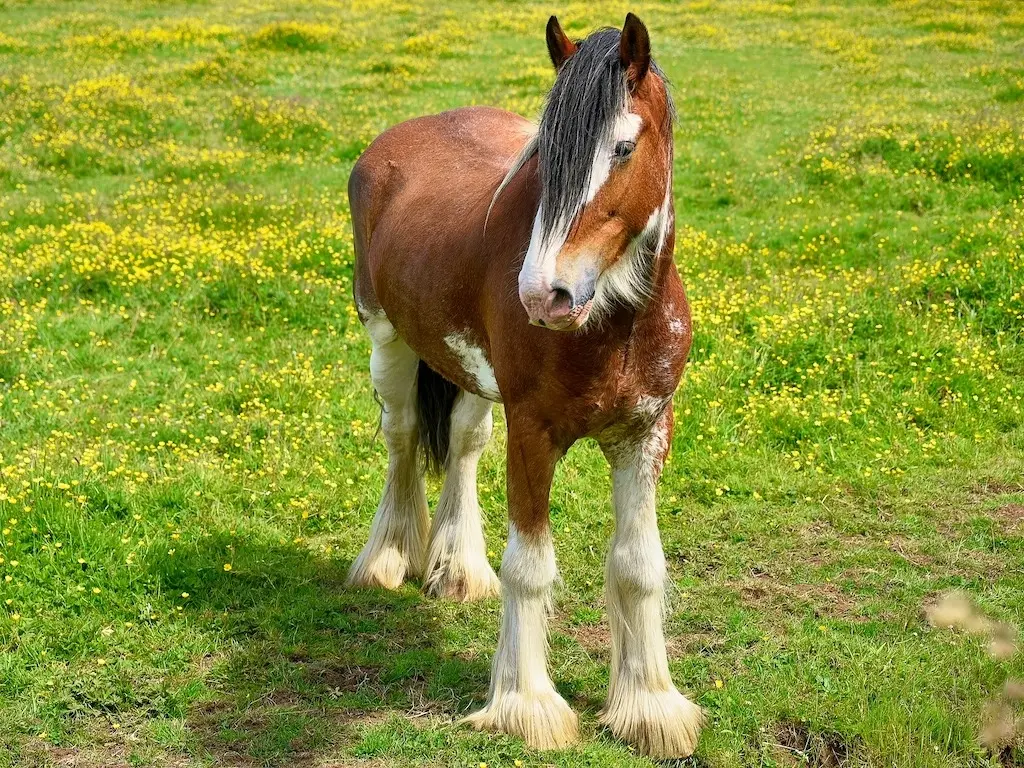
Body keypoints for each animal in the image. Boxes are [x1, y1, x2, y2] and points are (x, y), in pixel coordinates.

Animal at [348, 13, 700, 765]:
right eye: (545, 159)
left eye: (623, 146)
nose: (545, 294)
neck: (614, 322)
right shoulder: (535, 432)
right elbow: (531, 567)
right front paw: (527, 707)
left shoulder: (645, 432)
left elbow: (638, 565)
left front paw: (650, 707)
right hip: (386, 338)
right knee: (401, 438)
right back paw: (388, 557)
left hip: (471, 375)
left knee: (462, 443)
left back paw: (457, 569)